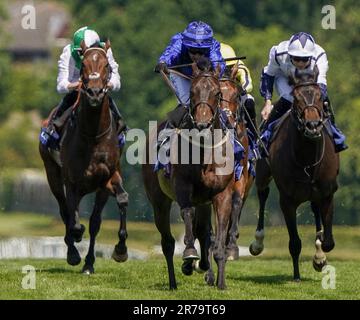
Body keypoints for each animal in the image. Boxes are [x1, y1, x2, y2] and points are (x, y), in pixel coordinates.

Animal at [39, 40, 129, 276]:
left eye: (107, 65)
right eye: (84, 66)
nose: (95, 92)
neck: (93, 135)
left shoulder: (109, 177)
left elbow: (120, 201)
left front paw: (120, 250)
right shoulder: (72, 182)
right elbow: (74, 221)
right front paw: (76, 241)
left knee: (93, 221)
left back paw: (88, 262)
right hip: (52, 173)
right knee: (65, 211)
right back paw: (73, 252)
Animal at [142, 58, 235, 290]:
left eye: (217, 93)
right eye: (192, 92)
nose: (202, 125)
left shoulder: (222, 194)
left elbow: (218, 232)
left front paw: (221, 282)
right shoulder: (183, 188)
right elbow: (187, 215)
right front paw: (190, 254)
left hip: (203, 201)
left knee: (203, 231)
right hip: (159, 200)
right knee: (167, 242)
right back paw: (174, 281)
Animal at [249, 68, 338, 280]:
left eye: (320, 96)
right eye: (296, 99)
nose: (312, 125)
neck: (307, 160)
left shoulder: (327, 193)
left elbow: (328, 241)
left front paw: (320, 256)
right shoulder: (287, 200)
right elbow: (295, 243)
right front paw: (297, 276)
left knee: (315, 210)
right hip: (263, 174)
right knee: (263, 194)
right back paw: (258, 242)